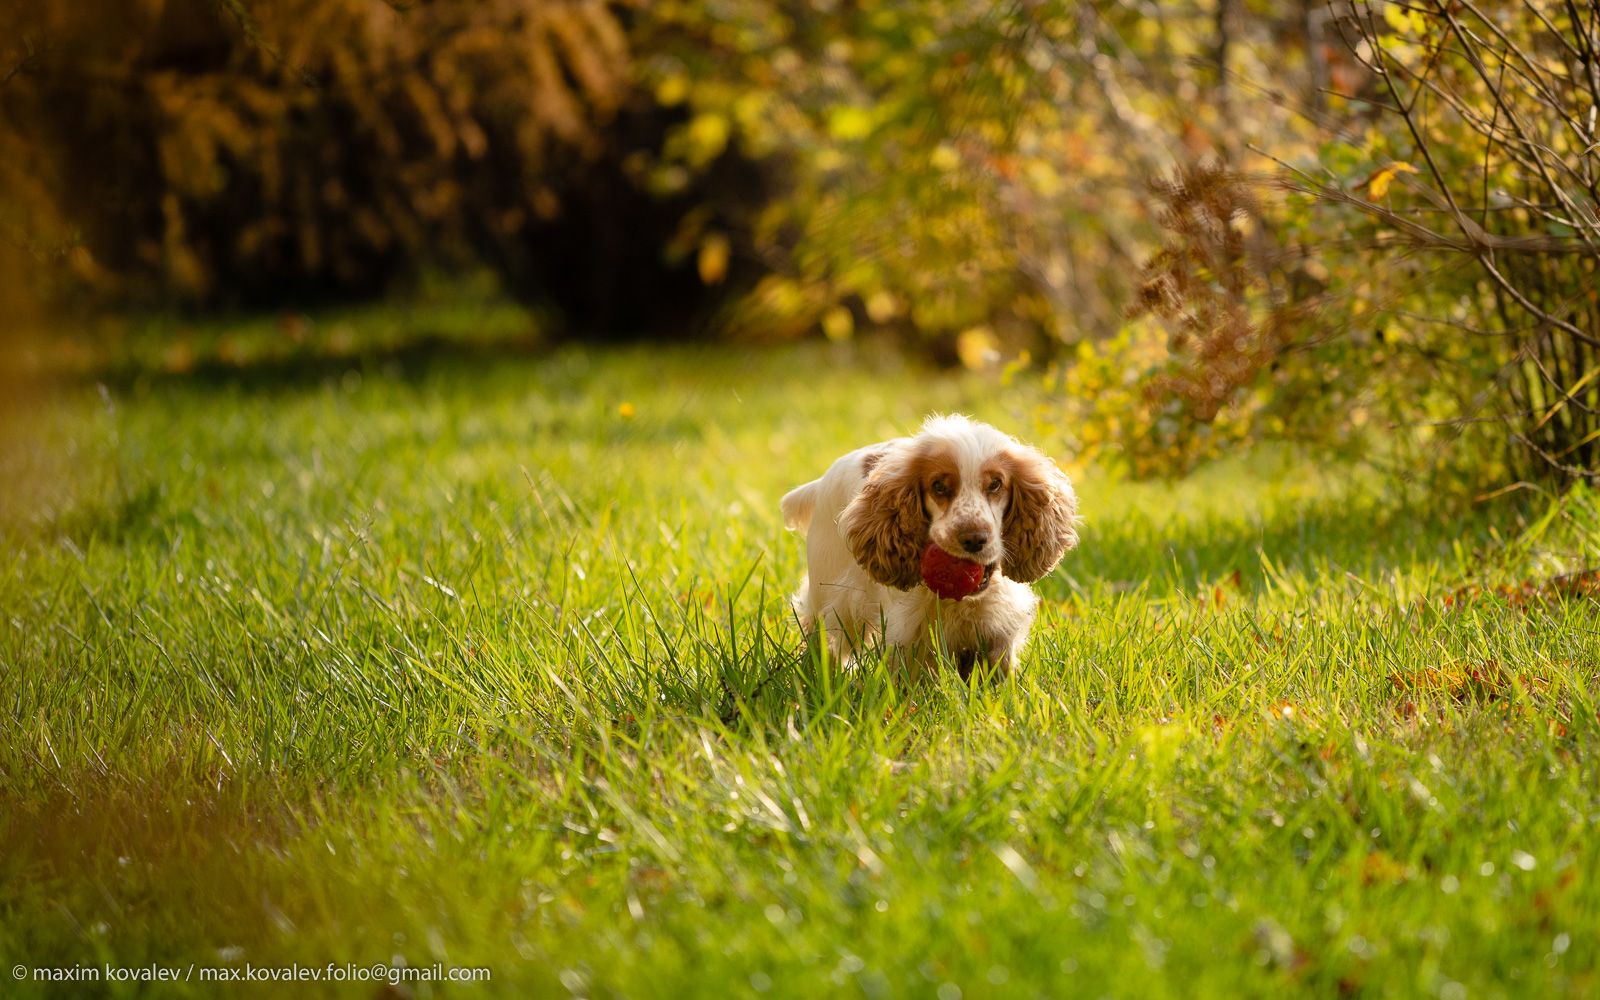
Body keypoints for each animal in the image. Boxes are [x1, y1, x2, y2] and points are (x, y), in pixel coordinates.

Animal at [780, 412, 1081, 678]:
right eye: (938, 486)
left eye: (996, 484)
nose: (973, 538)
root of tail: (821, 483)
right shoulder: (908, 635)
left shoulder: (997, 633)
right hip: (832, 597)